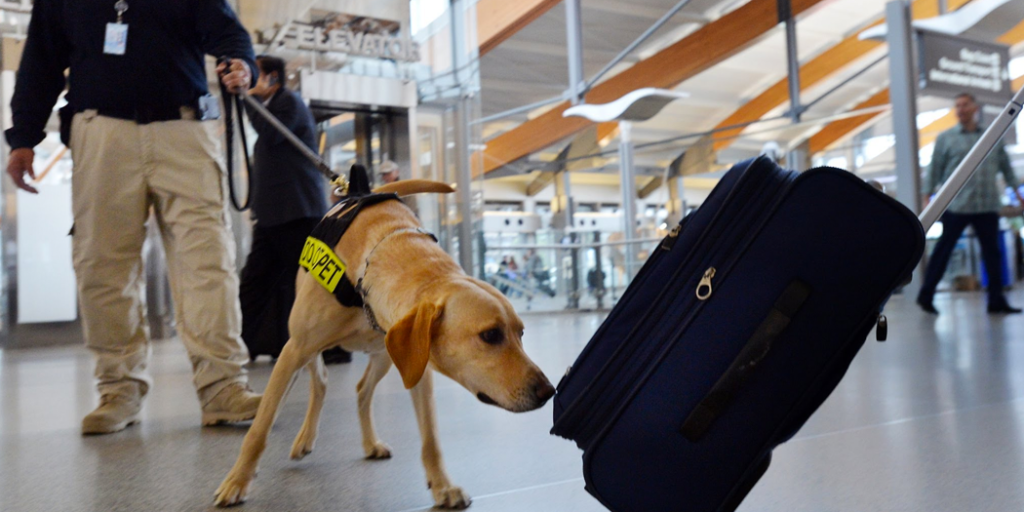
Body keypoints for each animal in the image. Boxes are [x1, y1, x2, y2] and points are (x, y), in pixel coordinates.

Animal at [210, 180, 557, 507]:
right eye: (490, 335)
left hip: (386, 355)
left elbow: (430, 438)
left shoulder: (417, 364)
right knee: (320, 381)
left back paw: (368, 442)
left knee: (362, 390)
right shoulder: (293, 351)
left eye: (521, 333)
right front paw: (237, 481)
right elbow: (259, 429)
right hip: (304, 344)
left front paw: (442, 485)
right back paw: (305, 437)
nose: (548, 391)